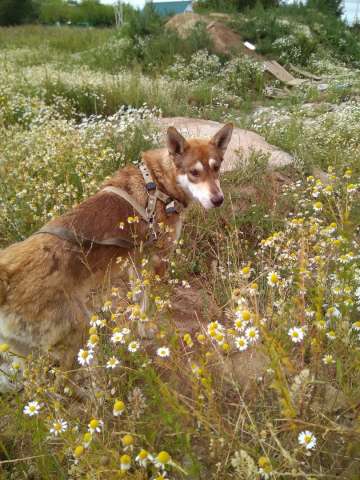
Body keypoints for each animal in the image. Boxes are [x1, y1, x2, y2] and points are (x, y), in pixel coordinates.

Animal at [0, 122, 233, 392]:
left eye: (217, 168)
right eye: (194, 172)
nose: (218, 200)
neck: (159, 184)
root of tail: (7, 274)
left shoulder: (136, 262)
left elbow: (141, 301)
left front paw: (141, 328)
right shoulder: (158, 261)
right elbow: (152, 304)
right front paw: (151, 328)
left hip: (25, 354)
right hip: (77, 330)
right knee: (61, 384)